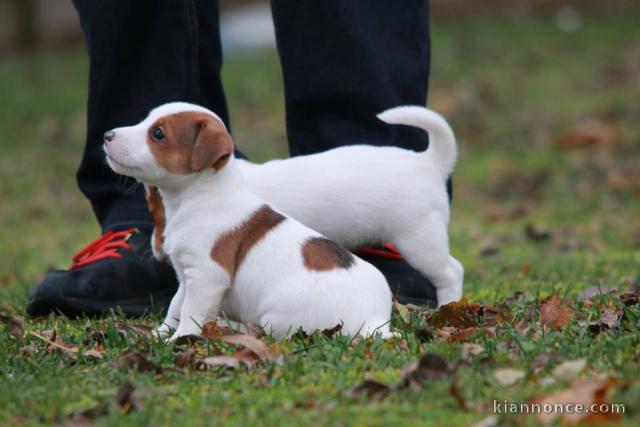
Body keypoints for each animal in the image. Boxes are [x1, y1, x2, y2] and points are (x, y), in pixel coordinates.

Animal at [103, 103, 392, 342]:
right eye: (146, 120)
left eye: (158, 134)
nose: (107, 135)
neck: (199, 197)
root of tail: (376, 320)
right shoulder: (186, 278)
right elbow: (176, 306)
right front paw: (159, 334)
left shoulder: (207, 277)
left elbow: (190, 311)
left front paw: (180, 338)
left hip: (278, 318)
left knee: (263, 332)